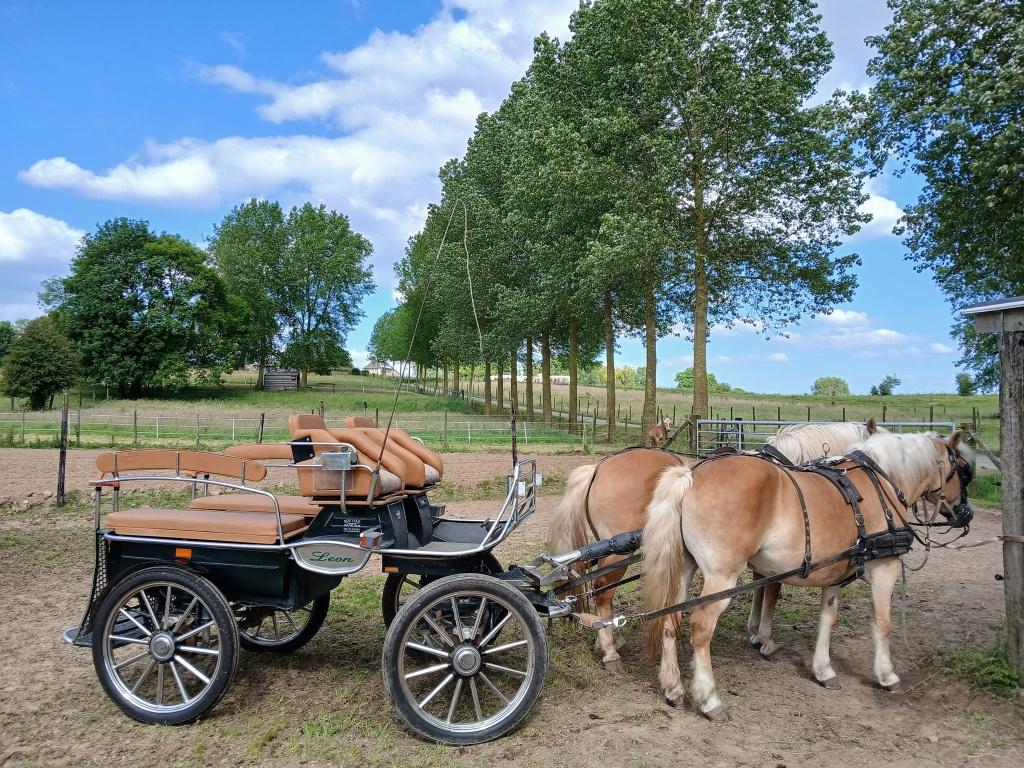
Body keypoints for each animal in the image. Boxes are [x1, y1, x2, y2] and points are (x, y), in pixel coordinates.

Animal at [548, 420, 879, 671]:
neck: (782, 477)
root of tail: (599, 465)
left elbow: (761, 587)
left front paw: (755, 631)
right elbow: (772, 590)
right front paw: (765, 638)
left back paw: (609, 637)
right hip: (622, 549)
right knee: (603, 591)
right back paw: (610, 651)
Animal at [641, 430, 974, 720]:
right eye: (963, 469)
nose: (965, 513)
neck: (883, 484)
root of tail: (692, 474)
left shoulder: (834, 573)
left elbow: (828, 619)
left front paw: (823, 669)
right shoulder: (885, 569)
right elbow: (882, 623)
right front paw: (886, 674)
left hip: (684, 568)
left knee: (670, 618)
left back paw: (673, 688)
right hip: (722, 575)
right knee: (700, 626)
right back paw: (710, 700)